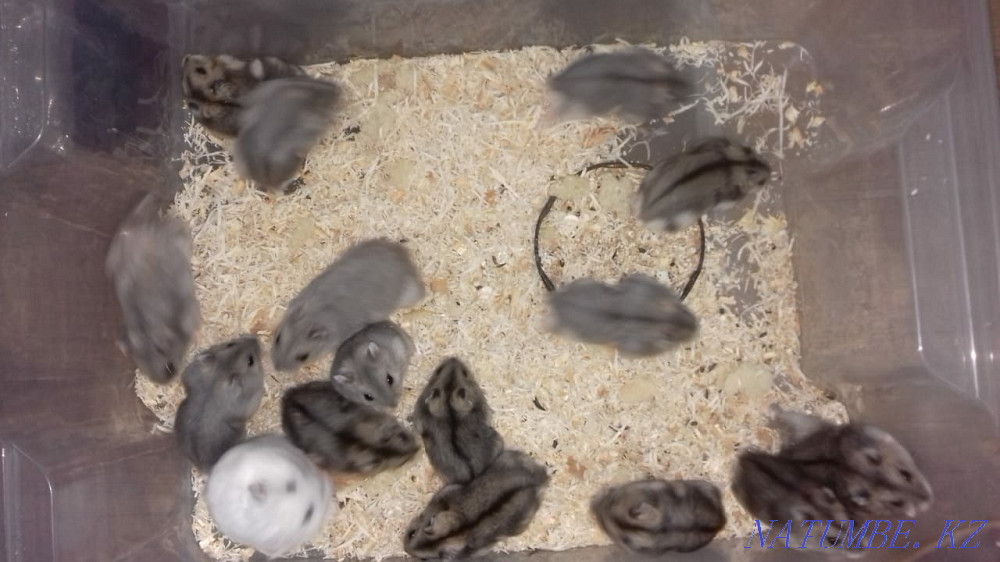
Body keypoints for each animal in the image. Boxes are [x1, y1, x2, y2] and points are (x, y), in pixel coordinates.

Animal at [272, 239, 425, 372]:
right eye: (278, 338)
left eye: (303, 357)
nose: (277, 368)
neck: (316, 315)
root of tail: (403, 254)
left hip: (409, 295)